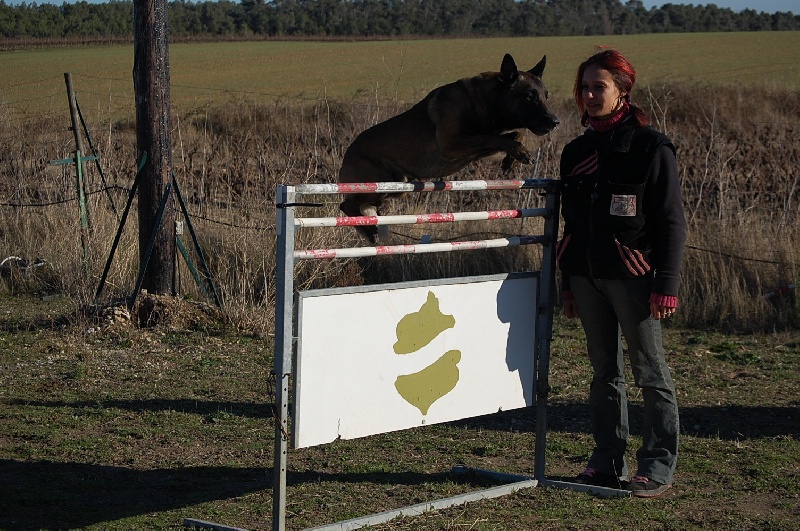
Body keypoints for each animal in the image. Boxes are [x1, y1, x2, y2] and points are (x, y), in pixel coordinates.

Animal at [336, 53, 556, 241]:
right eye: (529, 96)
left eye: (546, 96)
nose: (555, 122)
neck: (486, 100)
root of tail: (347, 155)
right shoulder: (453, 144)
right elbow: (496, 138)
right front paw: (519, 152)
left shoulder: (477, 147)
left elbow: (512, 135)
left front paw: (512, 158)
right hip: (381, 181)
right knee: (345, 205)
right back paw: (369, 231)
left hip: (397, 186)